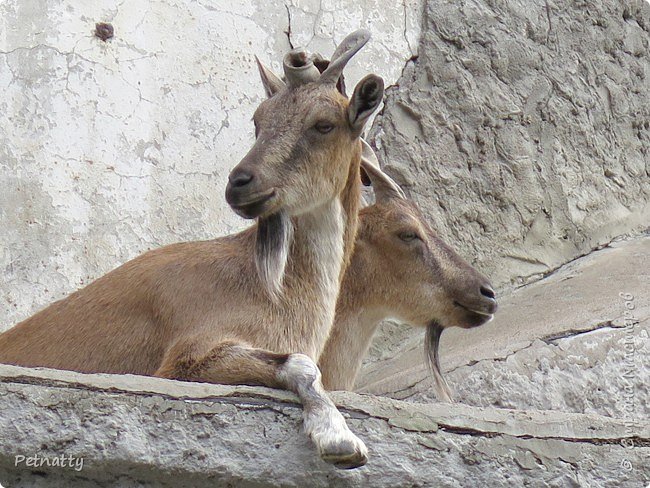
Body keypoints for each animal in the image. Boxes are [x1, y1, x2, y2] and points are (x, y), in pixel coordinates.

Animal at [0, 31, 382, 468]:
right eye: (258, 120)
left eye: (323, 124)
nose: (240, 183)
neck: (273, 289)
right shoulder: (186, 357)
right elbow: (301, 366)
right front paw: (339, 439)